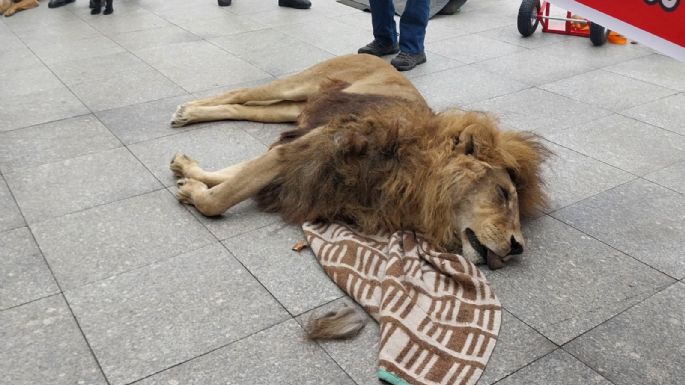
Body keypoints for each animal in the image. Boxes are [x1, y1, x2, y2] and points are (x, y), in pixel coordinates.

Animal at [171, 54, 552, 268]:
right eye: (503, 194)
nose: (518, 247)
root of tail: (379, 59)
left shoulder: (302, 148)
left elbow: (234, 174)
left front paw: (189, 173)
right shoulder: (317, 143)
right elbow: (222, 197)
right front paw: (193, 191)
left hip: (292, 109)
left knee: (244, 107)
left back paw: (189, 119)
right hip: (297, 85)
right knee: (242, 93)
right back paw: (186, 110)